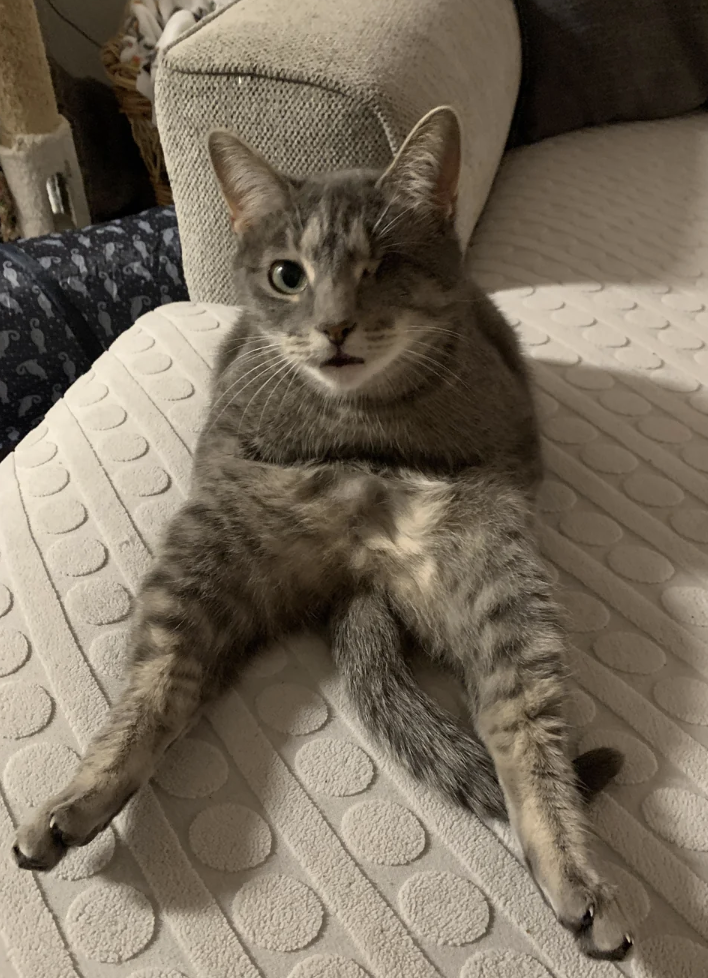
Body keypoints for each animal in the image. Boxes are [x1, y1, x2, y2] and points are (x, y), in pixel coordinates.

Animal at [11, 107, 632, 960]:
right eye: (287, 276)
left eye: (382, 268)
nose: (335, 328)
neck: (363, 422)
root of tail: (359, 573)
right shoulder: (231, 443)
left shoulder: (508, 450)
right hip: (211, 545)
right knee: (160, 687)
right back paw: (78, 800)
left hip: (498, 573)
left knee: (525, 732)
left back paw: (573, 878)